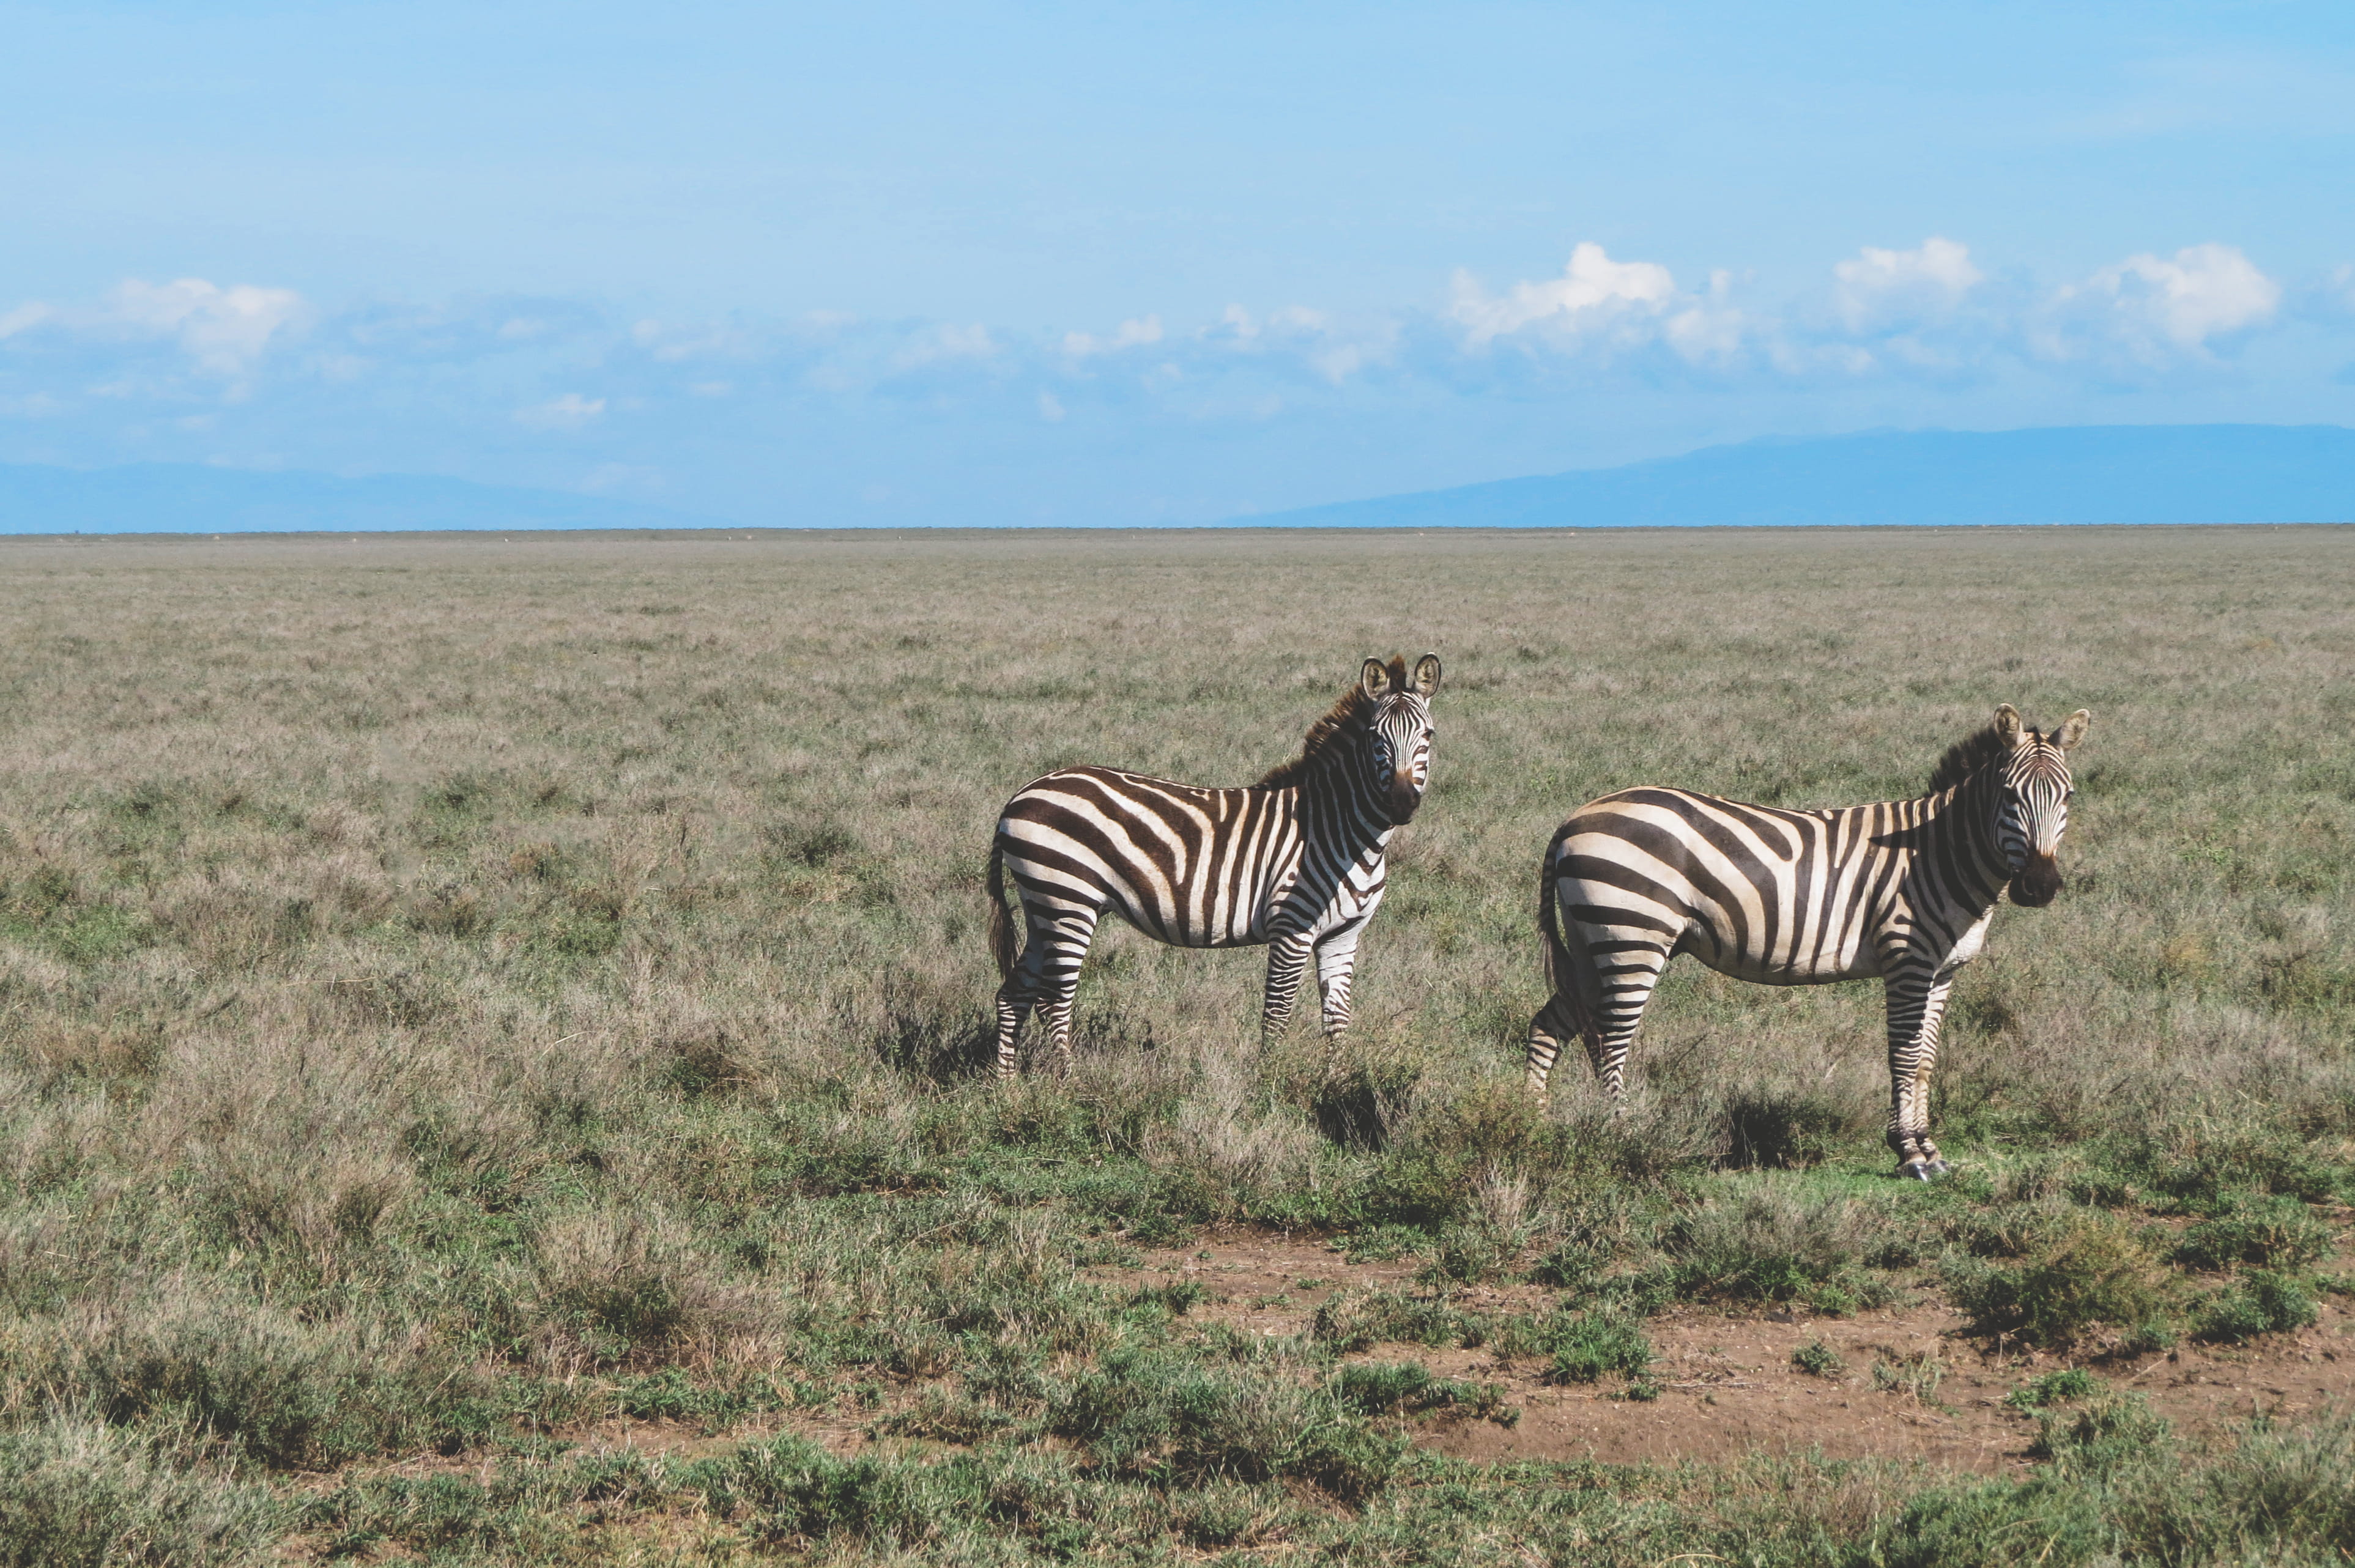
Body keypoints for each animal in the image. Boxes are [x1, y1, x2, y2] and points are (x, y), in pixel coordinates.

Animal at [985, 654, 1442, 1076]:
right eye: (1375, 738)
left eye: (1428, 735)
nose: (1401, 804)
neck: (1339, 830)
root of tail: (1022, 794)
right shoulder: (1292, 929)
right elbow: (1276, 1016)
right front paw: (1268, 1085)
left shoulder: (1343, 936)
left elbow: (1337, 1020)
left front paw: (1334, 1082)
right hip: (1068, 902)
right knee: (1053, 1001)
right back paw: (1068, 1086)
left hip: (1044, 908)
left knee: (1014, 995)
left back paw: (1006, 1087)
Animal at [1526, 703, 2089, 1179]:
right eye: (2010, 796)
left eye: (2068, 797)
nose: (2040, 888)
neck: (1938, 854)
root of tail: (1575, 818)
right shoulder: (1907, 961)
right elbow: (1904, 1056)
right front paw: (1909, 1153)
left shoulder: (1943, 970)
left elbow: (1927, 1060)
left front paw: (1929, 1148)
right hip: (1632, 938)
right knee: (1611, 1043)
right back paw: (1623, 1136)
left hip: (1591, 945)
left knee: (1550, 1025)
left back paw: (1533, 1126)